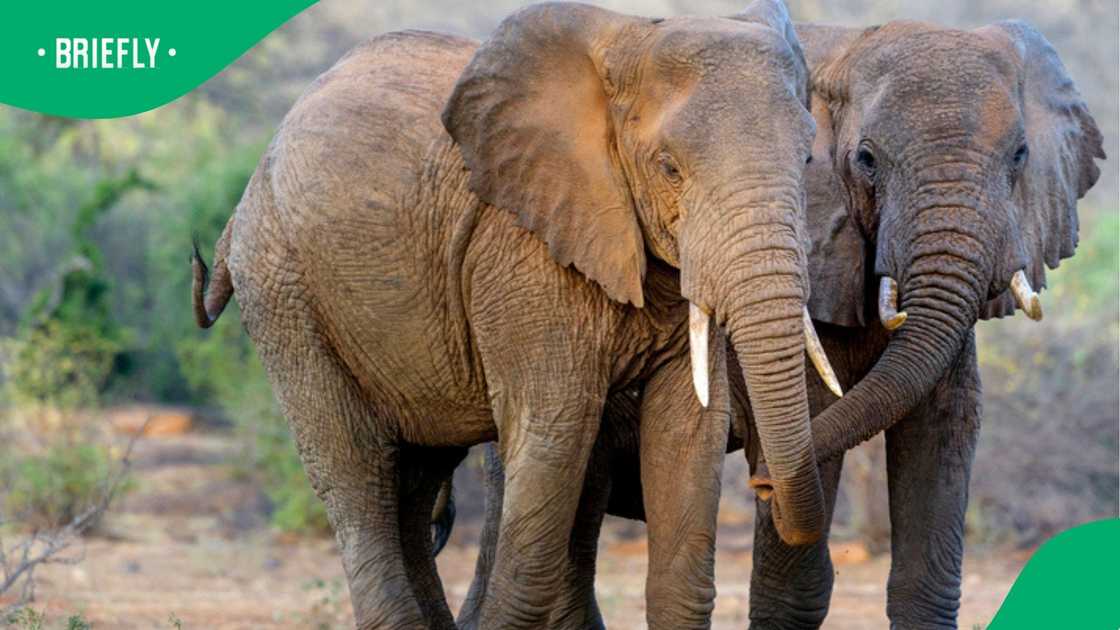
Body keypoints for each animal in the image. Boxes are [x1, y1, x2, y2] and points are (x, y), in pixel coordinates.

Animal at [190, 1, 845, 627]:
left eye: (807, 158)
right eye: (669, 167)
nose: (764, 485)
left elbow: (688, 434)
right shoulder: (520, 251)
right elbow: (555, 429)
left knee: (415, 477)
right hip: (282, 289)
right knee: (355, 468)